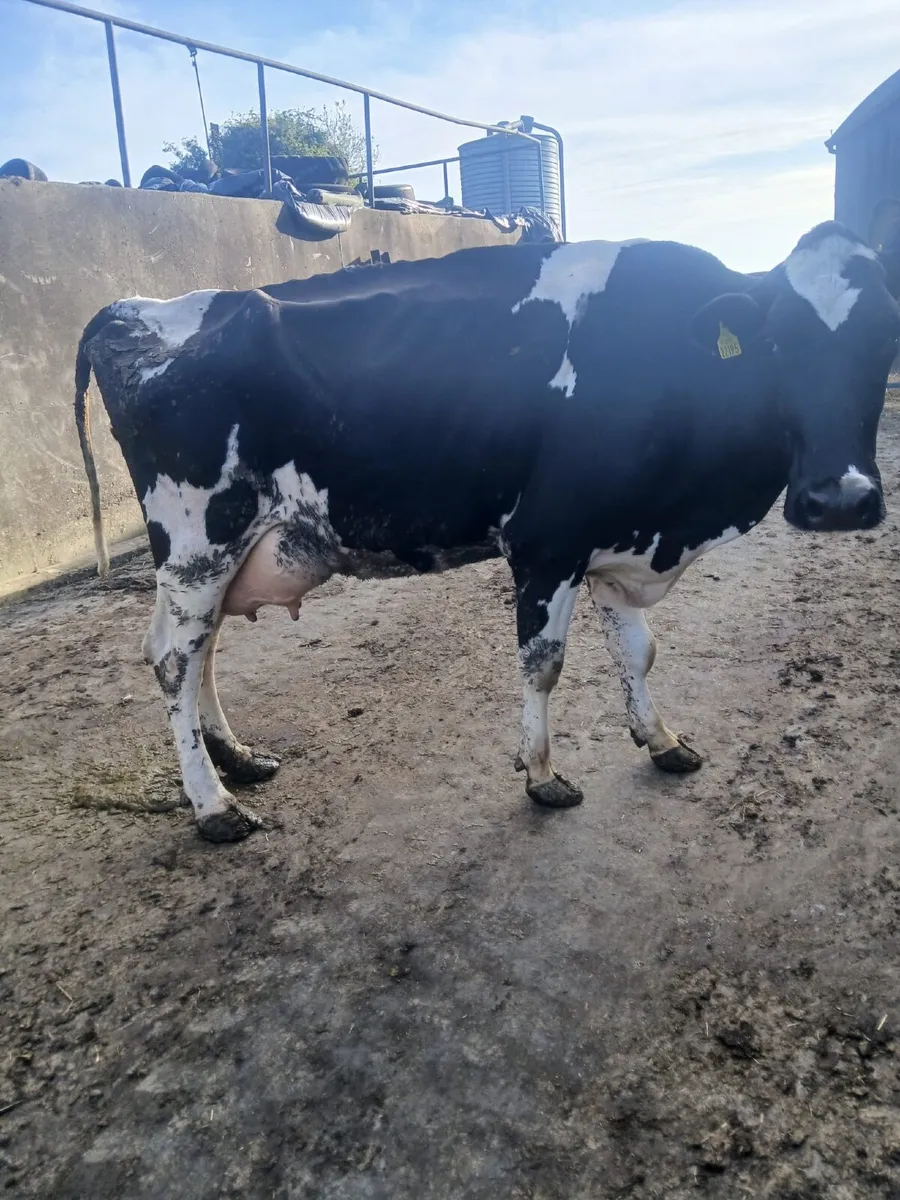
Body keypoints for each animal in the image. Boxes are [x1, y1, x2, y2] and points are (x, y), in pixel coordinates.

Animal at [74, 220, 900, 843]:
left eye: (884, 338)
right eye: (777, 341)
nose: (841, 499)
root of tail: (131, 305)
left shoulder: (620, 536)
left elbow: (638, 651)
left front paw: (662, 740)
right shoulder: (548, 539)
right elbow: (544, 665)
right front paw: (542, 775)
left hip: (221, 550)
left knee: (194, 649)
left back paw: (239, 760)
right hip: (199, 535)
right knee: (174, 662)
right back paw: (214, 805)